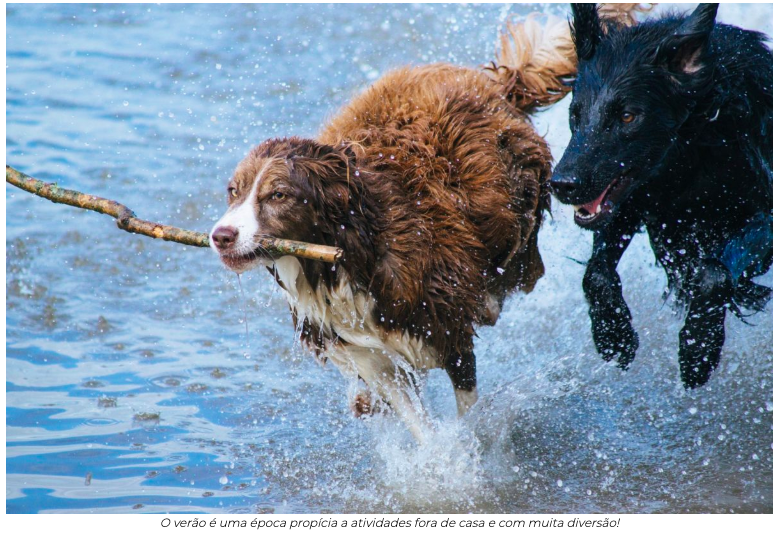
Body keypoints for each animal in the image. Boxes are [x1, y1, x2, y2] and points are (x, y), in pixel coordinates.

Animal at [552, 3, 768, 386]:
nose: (562, 183)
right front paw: (614, 336)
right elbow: (596, 274)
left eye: (627, 116)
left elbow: (714, 275)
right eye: (575, 114)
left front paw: (698, 348)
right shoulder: (631, 202)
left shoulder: (764, 215)